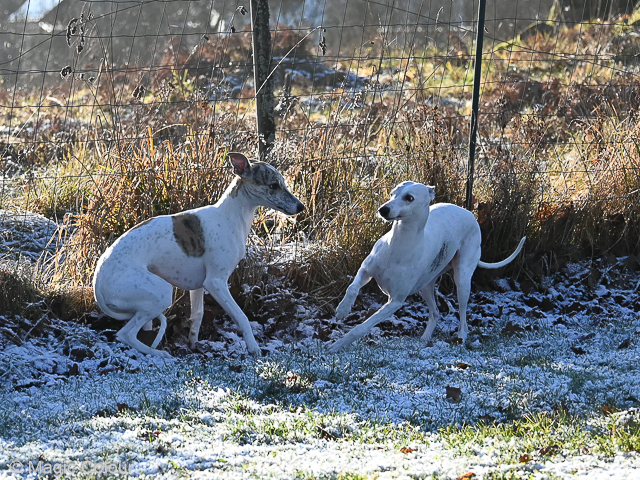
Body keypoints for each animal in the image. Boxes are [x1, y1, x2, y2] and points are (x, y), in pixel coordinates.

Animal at [92, 152, 304, 358]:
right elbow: (242, 317)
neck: (229, 216)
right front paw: (253, 348)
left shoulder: (198, 286)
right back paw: (159, 354)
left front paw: (193, 344)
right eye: (273, 185)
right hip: (161, 291)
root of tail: (97, 285)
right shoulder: (216, 282)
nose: (301, 207)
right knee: (125, 334)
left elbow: (198, 316)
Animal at [328, 181, 528, 352]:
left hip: (462, 279)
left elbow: (362, 327)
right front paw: (343, 309)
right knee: (436, 312)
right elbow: (352, 287)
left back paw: (461, 337)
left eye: (409, 198)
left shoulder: (395, 301)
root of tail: (468, 212)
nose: (383, 209)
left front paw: (337, 345)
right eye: (392, 193)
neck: (398, 245)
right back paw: (425, 338)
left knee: (463, 315)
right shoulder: (366, 271)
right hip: (426, 285)